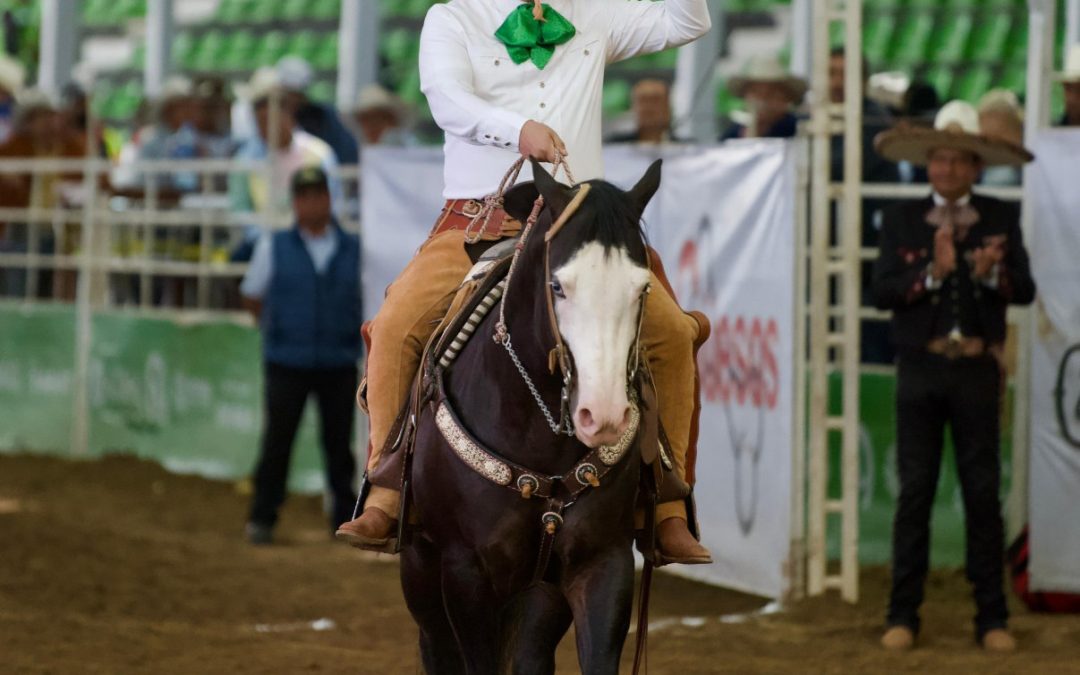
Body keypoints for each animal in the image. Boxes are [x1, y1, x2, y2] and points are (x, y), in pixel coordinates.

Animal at [401, 158, 660, 673]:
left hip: (538, 596)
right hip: (420, 572)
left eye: (642, 287)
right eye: (557, 285)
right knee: (437, 648)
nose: (603, 415)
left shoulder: (604, 562)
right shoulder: (465, 573)